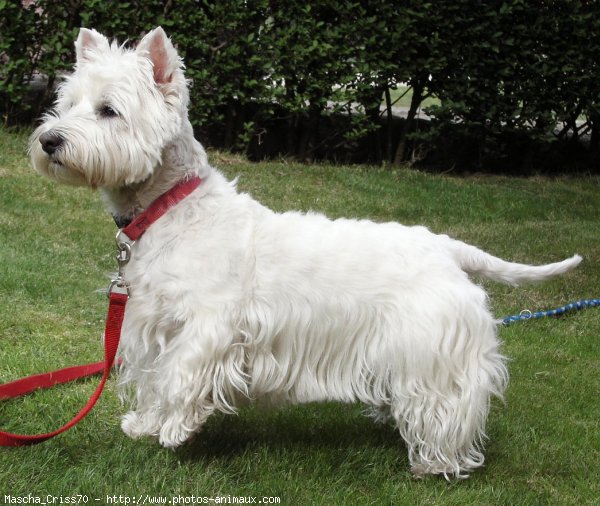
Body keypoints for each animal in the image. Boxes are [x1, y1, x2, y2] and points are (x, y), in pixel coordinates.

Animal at [29, 27, 580, 478]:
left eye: (109, 110)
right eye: (67, 103)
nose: (49, 140)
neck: (169, 209)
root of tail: (445, 246)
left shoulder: (209, 325)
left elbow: (182, 375)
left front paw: (174, 429)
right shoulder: (150, 324)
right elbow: (152, 377)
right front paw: (144, 424)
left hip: (436, 354)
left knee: (447, 408)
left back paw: (437, 464)